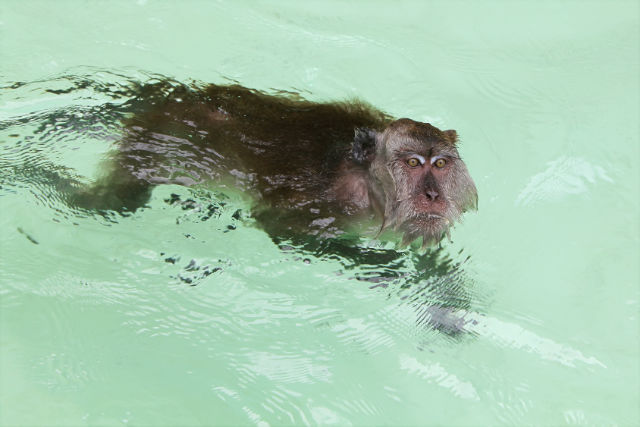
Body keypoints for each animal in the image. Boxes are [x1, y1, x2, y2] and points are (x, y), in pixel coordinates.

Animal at [61, 80, 477, 249]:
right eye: (413, 162)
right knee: (116, 201)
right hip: (152, 141)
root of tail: (177, 95)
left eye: (440, 163)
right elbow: (277, 227)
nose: (432, 194)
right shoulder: (321, 204)